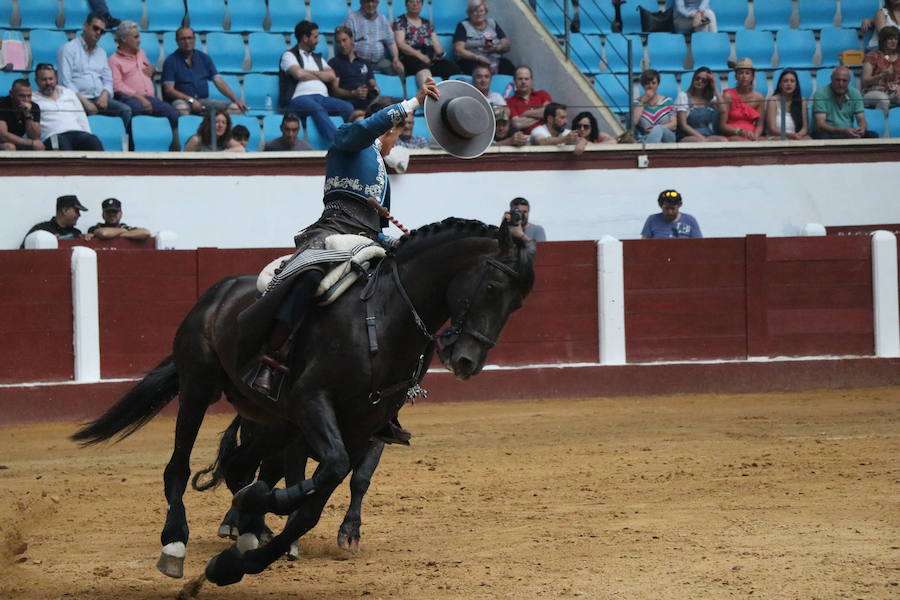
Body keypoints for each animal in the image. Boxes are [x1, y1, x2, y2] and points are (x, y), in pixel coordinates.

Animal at [74, 219, 536, 584]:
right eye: (492, 285)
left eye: (517, 303)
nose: (467, 361)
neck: (384, 317)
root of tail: (219, 291)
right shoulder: (312, 402)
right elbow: (317, 477)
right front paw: (266, 516)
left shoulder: (363, 429)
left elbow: (324, 496)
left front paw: (241, 559)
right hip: (199, 385)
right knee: (179, 467)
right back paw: (175, 542)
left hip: (273, 420)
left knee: (240, 466)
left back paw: (247, 526)